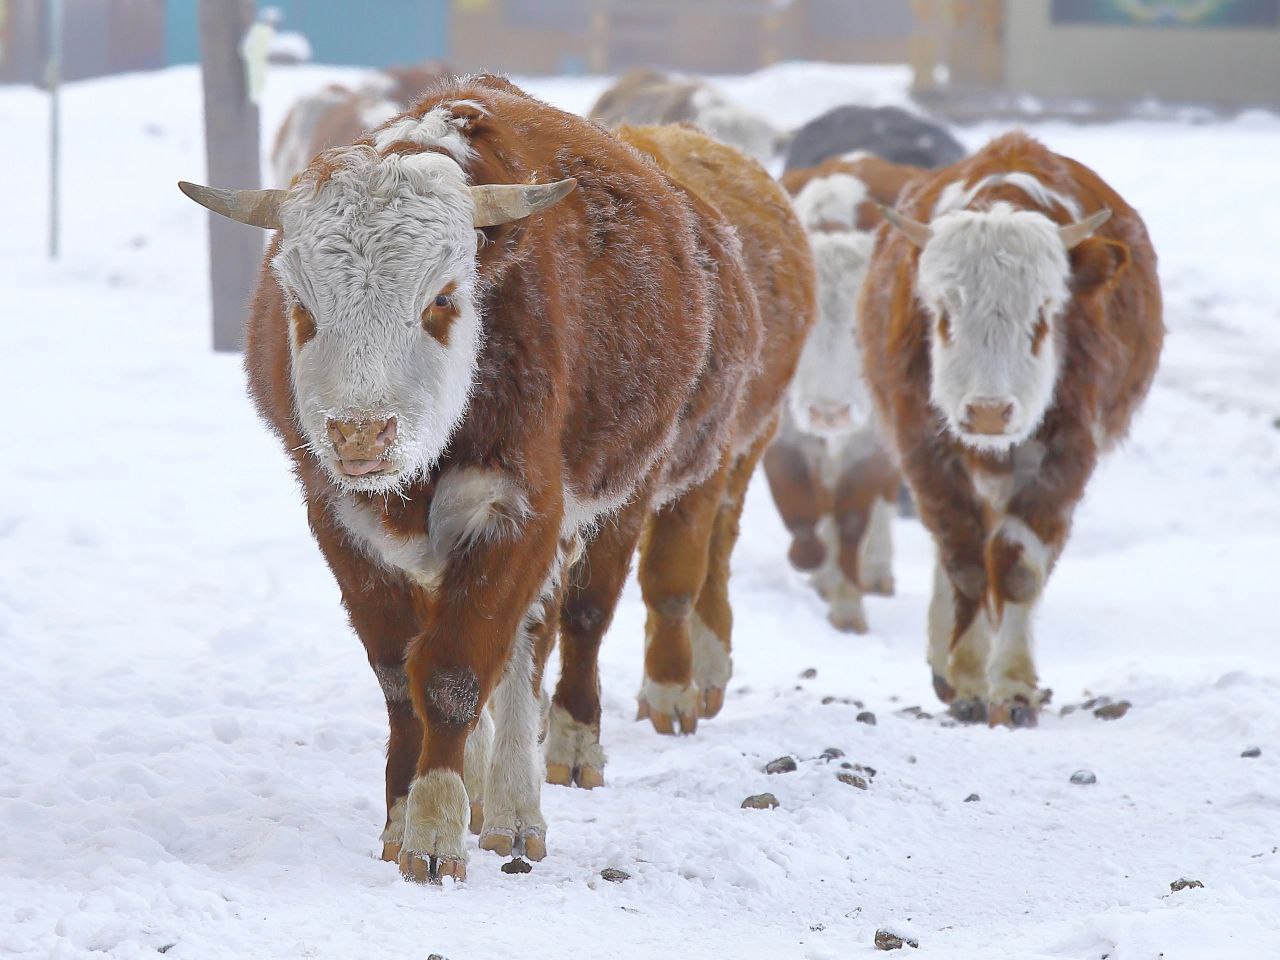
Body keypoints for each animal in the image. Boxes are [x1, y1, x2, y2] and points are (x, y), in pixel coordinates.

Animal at [177, 77, 808, 885]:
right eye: (301, 305)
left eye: (442, 299)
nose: (360, 432)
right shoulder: (343, 525)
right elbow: (400, 678)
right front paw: (403, 815)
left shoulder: (520, 516)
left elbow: (456, 674)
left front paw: (437, 828)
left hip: (628, 496)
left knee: (561, 634)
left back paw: (527, 793)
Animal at [762, 154, 926, 634]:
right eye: (803, 324)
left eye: (862, 329)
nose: (827, 412)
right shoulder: (781, 429)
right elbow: (801, 509)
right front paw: (814, 563)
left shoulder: (872, 439)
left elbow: (853, 516)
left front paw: (849, 606)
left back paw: (875, 569)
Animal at [855, 131, 1167, 727]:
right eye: (943, 312)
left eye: (1043, 314)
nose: (988, 412)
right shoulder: (924, 448)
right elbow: (964, 560)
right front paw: (968, 678)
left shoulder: (1067, 455)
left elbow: (1017, 564)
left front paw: (1014, 686)